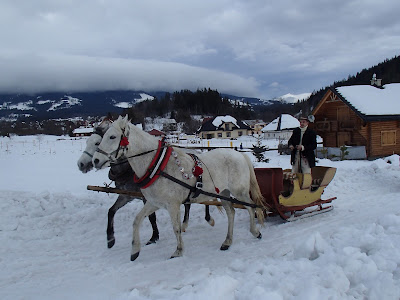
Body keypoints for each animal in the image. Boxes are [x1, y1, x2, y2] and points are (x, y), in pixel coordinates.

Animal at [92, 116, 264, 262]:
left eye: (112, 137)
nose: (95, 160)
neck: (158, 166)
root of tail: (240, 155)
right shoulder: (153, 203)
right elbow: (137, 220)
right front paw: (135, 250)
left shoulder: (173, 205)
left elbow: (176, 228)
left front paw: (178, 251)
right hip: (224, 193)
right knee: (231, 213)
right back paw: (227, 241)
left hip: (239, 192)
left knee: (250, 208)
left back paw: (255, 232)